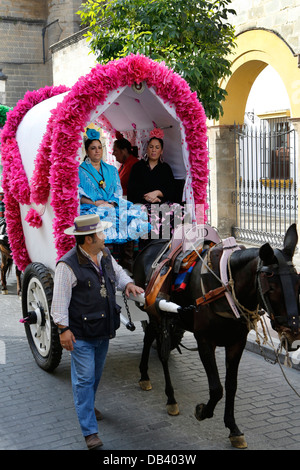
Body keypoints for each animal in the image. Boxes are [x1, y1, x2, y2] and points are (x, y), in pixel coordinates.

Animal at [134, 224, 300, 448]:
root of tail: (149, 246)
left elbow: (231, 386)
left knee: (155, 343)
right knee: (159, 351)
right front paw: (203, 411)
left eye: (298, 282)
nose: (293, 335)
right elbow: (216, 388)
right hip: (154, 314)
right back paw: (166, 395)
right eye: (271, 288)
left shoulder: (236, 343)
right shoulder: (205, 342)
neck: (225, 287)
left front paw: (233, 428)